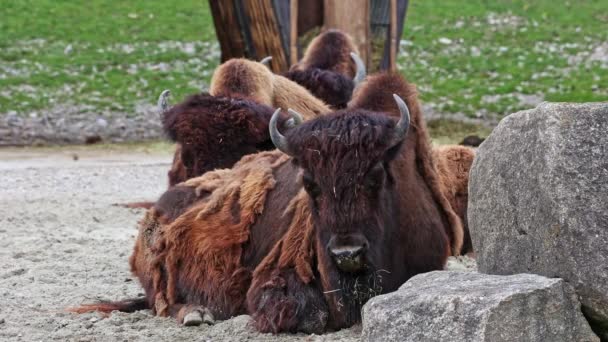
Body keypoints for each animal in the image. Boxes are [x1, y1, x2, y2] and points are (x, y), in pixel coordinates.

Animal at [75, 72, 466, 334]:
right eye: (309, 183)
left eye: (376, 175)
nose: (347, 253)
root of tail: (157, 209)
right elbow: (311, 316)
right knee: (165, 301)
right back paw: (198, 313)